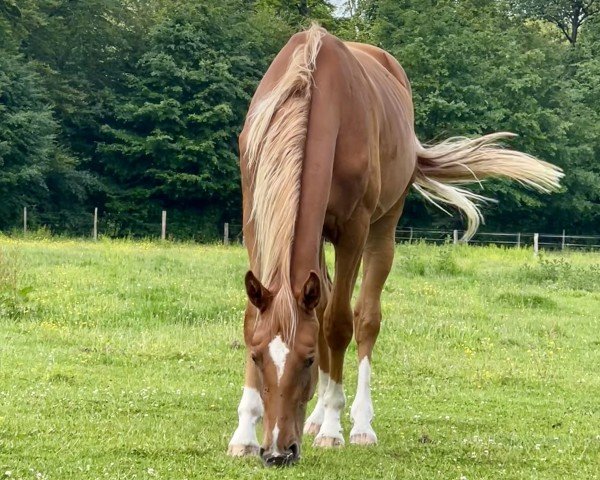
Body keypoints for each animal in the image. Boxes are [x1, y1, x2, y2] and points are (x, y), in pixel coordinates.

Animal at [226, 23, 564, 464]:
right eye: (255, 356)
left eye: (308, 359)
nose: (279, 451)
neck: (313, 94)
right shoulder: (256, 221)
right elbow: (256, 317)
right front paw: (244, 434)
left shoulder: (353, 229)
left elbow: (338, 325)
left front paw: (333, 428)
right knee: (327, 301)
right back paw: (315, 418)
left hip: (383, 227)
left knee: (365, 318)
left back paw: (357, 425)